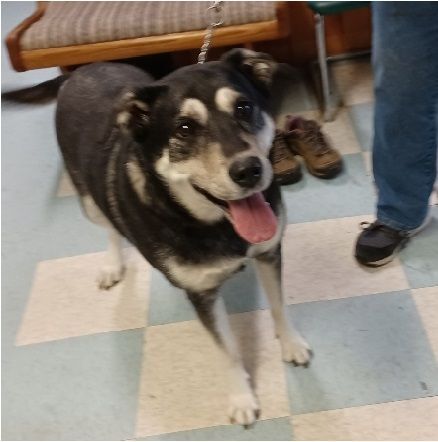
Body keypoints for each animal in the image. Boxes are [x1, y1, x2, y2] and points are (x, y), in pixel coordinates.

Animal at [5, 50, 312, 426]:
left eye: (244, 107)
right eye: (184, 128)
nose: (249, 170)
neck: (216, 225)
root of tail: (77, 73)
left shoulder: (269, 252)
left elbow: (279, 305)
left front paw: (291, 343)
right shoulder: (200, 292)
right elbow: (226, 349)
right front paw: (241, 398)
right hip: (88, 199)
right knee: (109, 226)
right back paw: (112, 265)